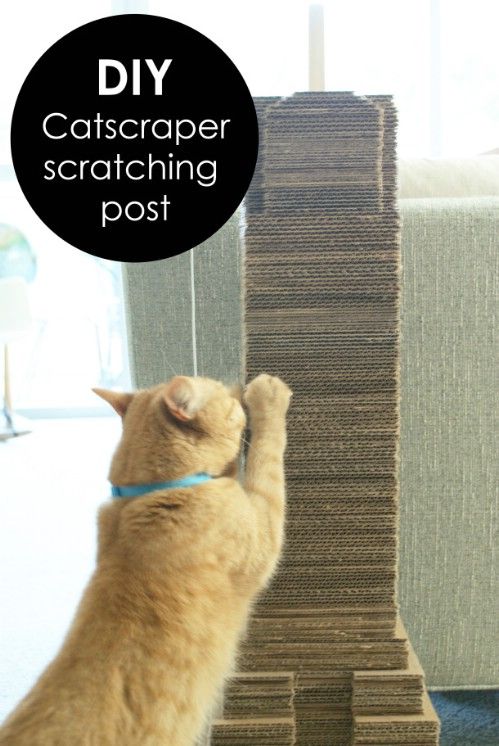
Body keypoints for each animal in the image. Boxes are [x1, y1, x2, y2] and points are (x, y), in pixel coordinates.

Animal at [0, 374, 292, 740]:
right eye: (223, 393)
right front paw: (269, 394)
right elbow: (267, 456)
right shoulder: (266, 528)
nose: (236, 388)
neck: (153, 493)